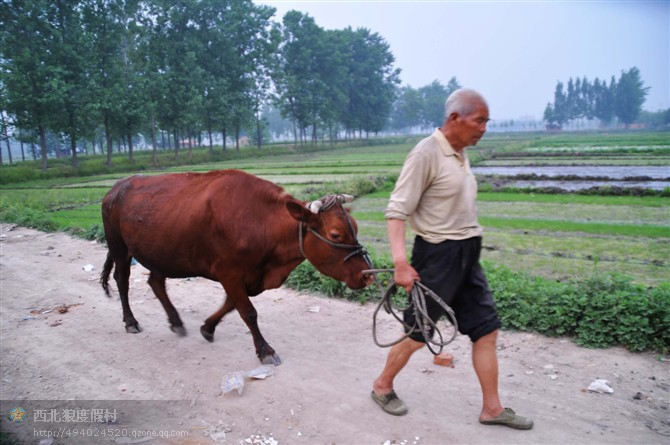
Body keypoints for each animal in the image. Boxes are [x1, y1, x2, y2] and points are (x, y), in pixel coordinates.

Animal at [100, 168, 372, 362]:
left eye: (356, 227)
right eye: (336, 234)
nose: (367, 274)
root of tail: (117, 187)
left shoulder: (247, 276)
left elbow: (231, 305)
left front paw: (207, 328)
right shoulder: (228, 271)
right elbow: (248, 311)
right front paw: (265, 350)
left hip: (161, 252)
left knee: (155, 282)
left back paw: (176, 322)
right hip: (119, 246)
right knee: (122, 280)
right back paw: (131, 322)